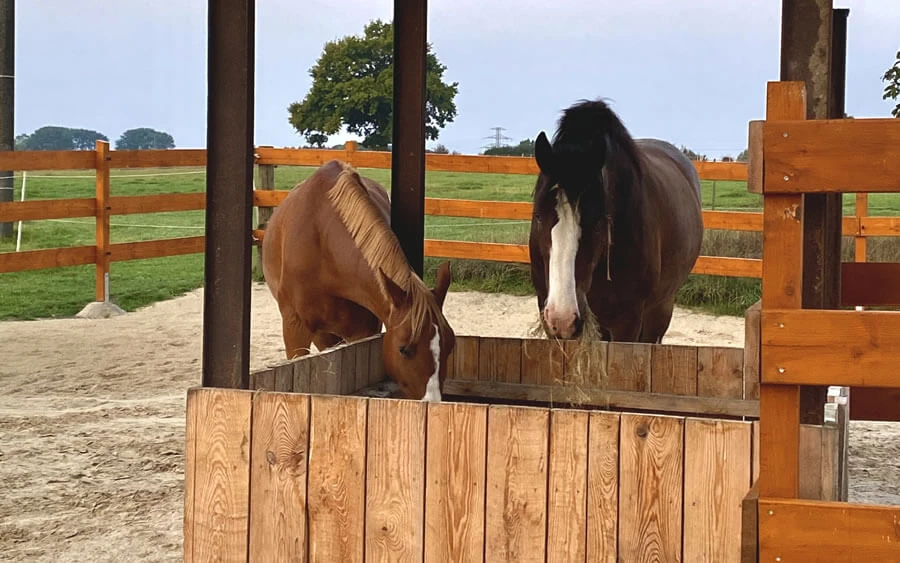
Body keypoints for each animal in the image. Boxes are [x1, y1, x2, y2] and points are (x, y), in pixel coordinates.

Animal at [260, 159, 456, 401]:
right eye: (403, 349)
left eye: (450, 344)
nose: (432, 402)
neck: (322, 241)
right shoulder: (294, 327)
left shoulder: (361, 330)